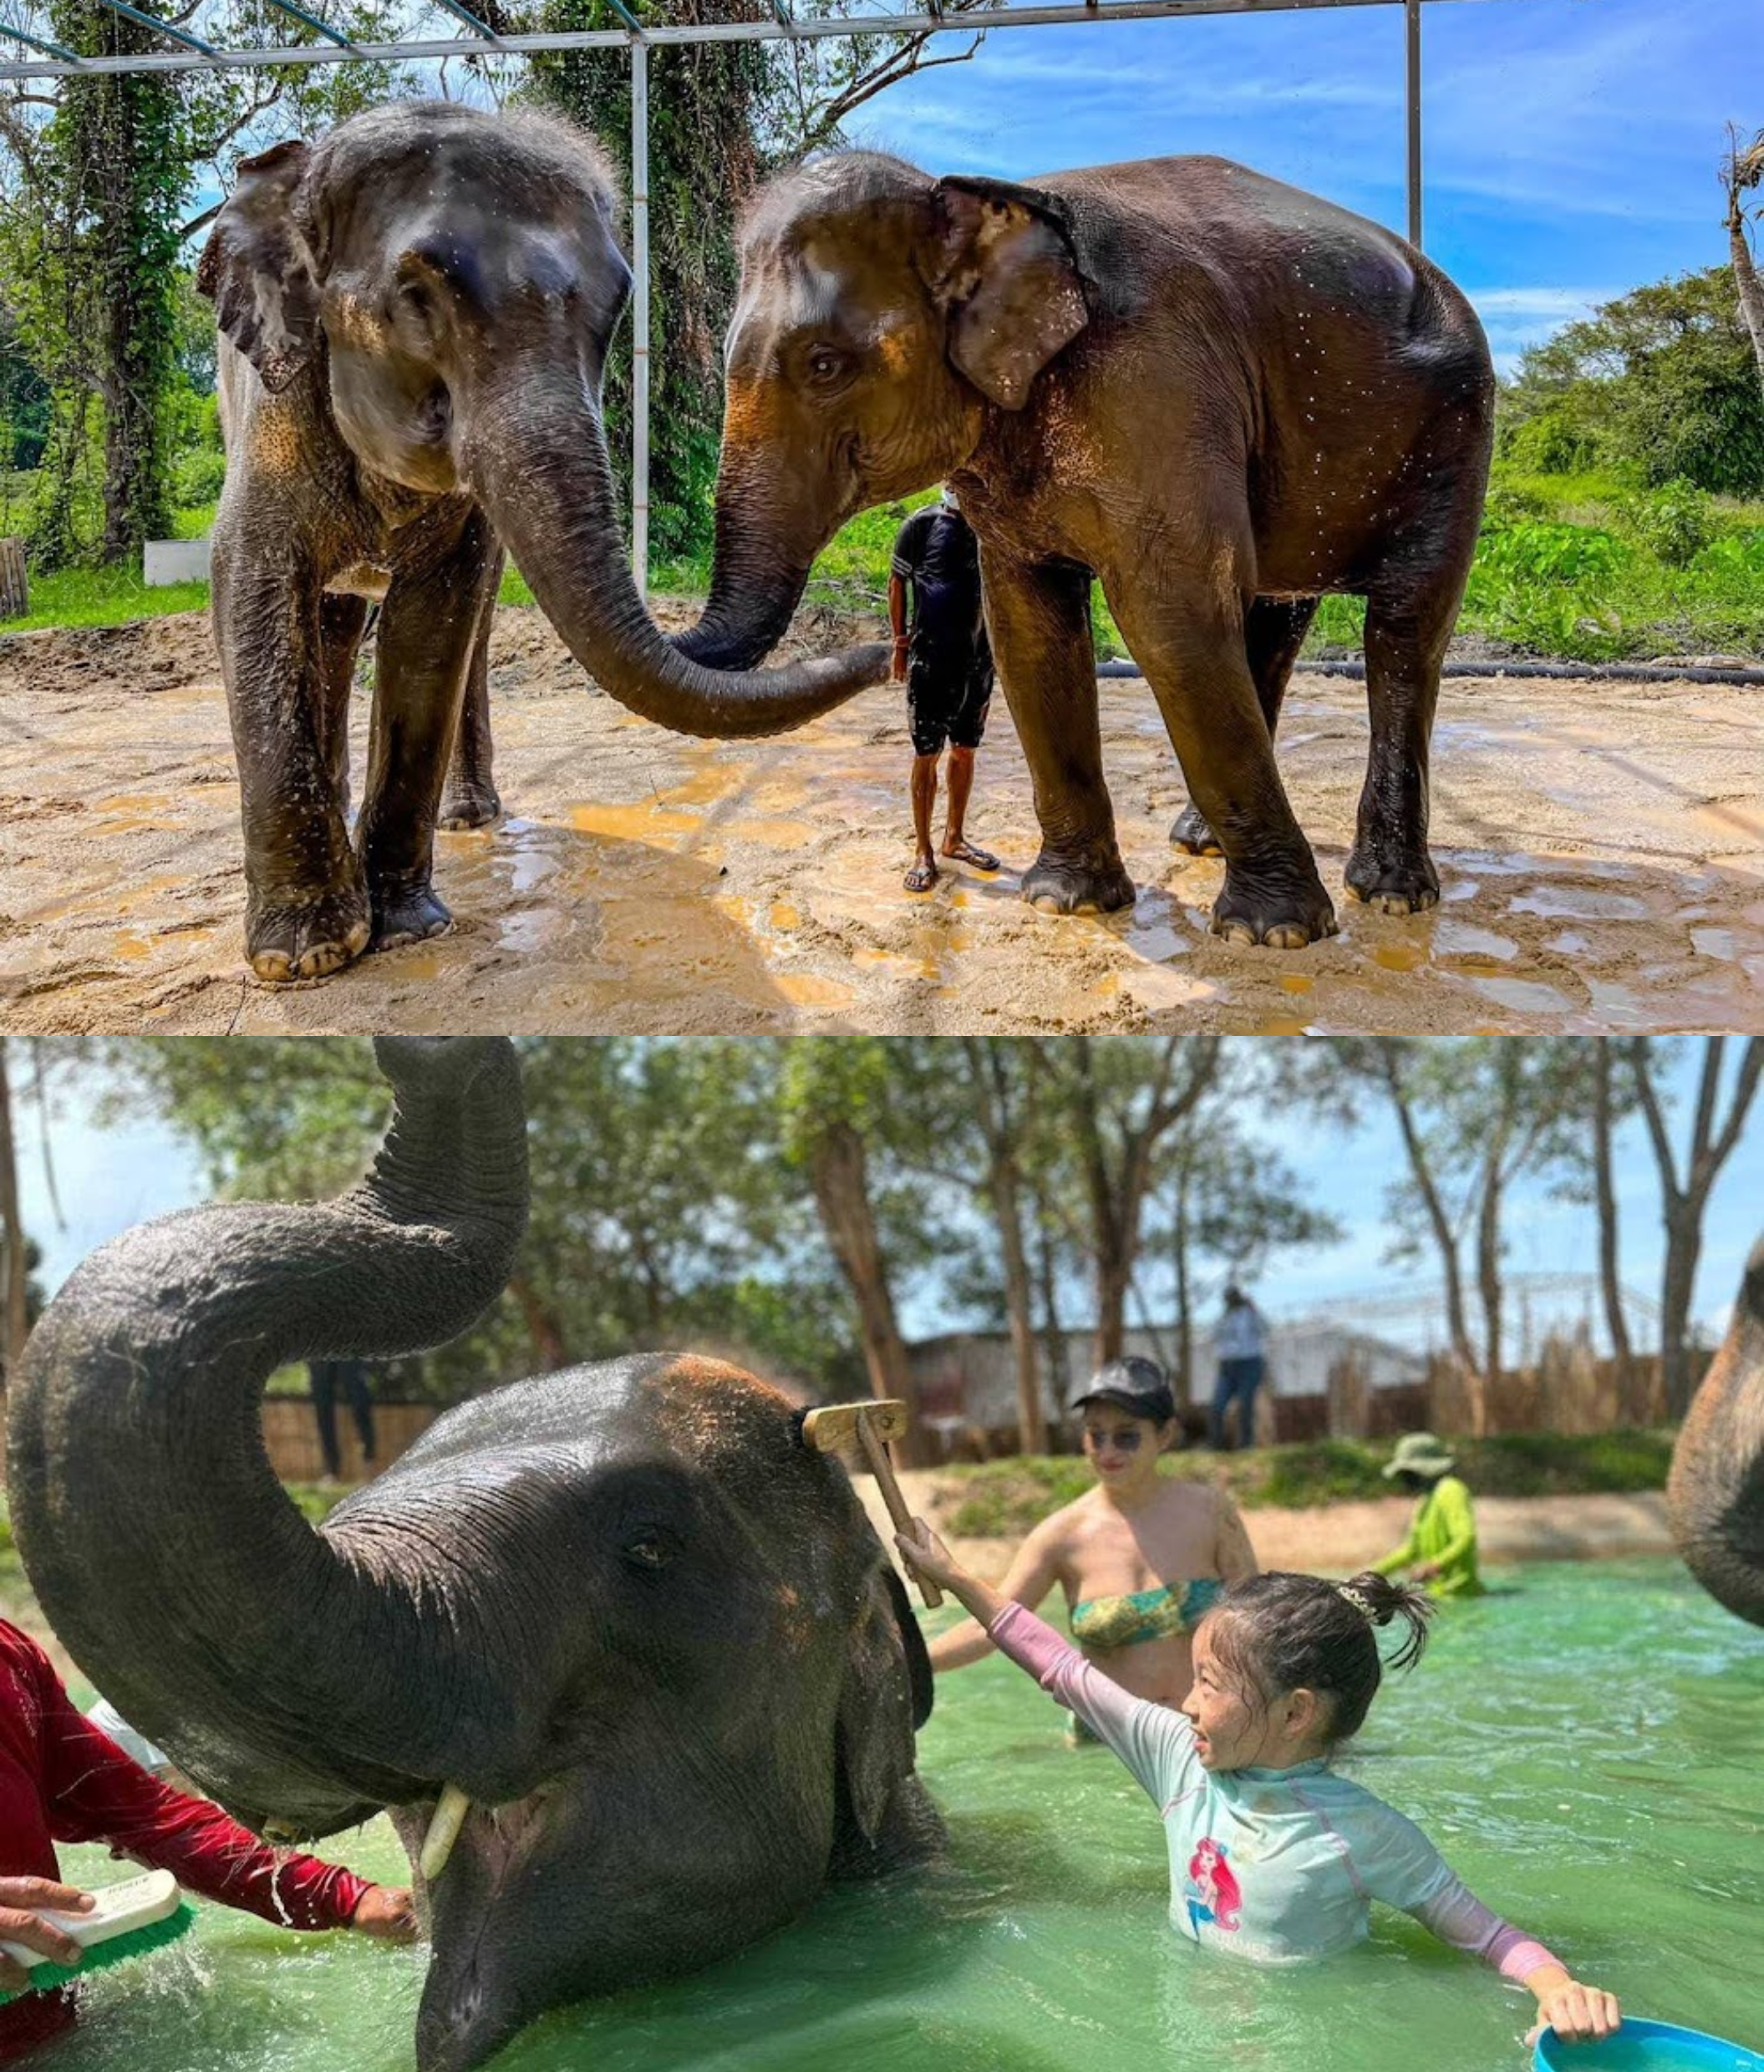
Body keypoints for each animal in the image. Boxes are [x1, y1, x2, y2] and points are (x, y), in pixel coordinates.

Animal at [200, 102, 886, 984]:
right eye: (416, 295)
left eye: (616, 307)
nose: (892, 650)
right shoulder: (273, 410)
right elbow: (246, 579)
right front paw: (308, 958)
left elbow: (440, 617)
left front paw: (407, 933)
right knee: (330, 619)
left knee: (438, 624)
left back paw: (468, 818)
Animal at [680, 151, 1496, 946]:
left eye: (824, 364)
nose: (894, 657)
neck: (978, 195)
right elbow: (1028, 630)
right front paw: (1065, 902)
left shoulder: (1158, 384)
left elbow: (1170, 620)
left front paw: (1275, 934)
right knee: (1273, 620)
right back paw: (1197, 842)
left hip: (1455, 434)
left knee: (1403, 631)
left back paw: (1390, 895)